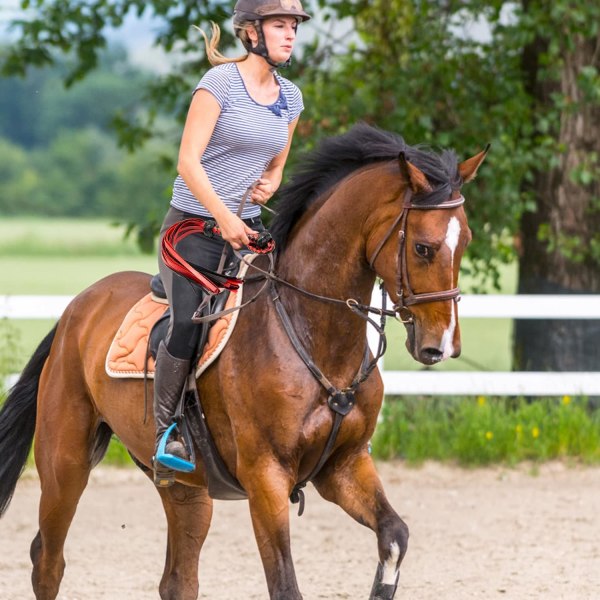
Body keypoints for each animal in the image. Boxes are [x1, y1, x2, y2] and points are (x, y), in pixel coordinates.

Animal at [0, 124, 488, 596]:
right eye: (423, 248)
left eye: (465, 241)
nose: (442, 345)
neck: (312, 333)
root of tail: (77, 309)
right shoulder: (265, 479)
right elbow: (285, 584)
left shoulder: (344, 466)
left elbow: (394, 536)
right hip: (66, 462)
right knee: (48, 561)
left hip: (185, 489)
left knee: (178, 580)